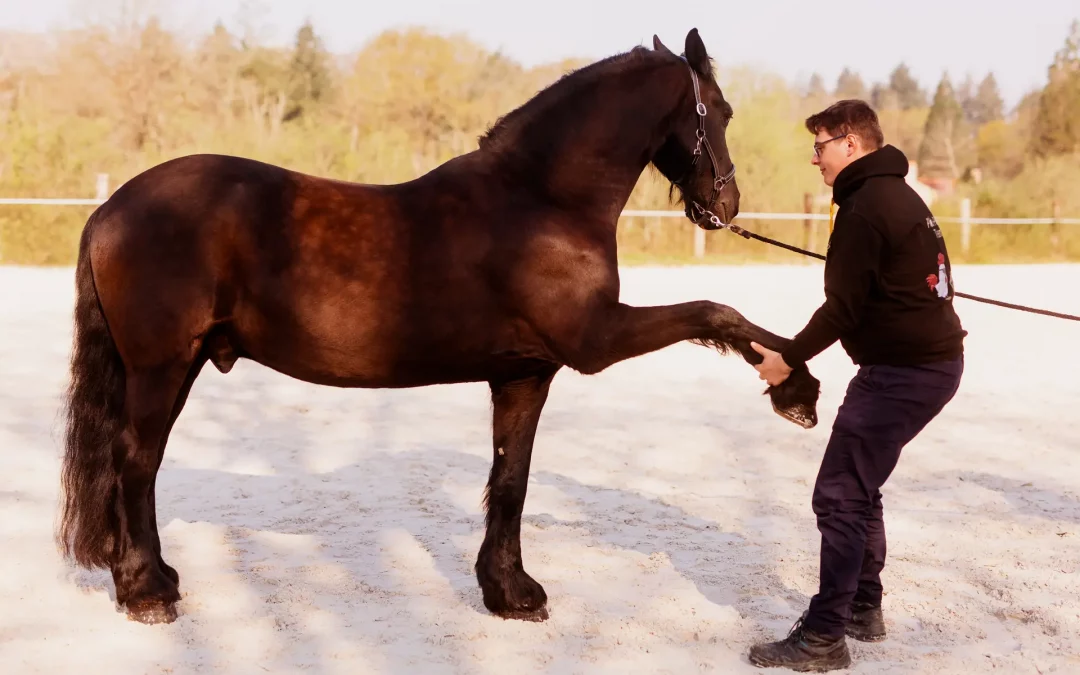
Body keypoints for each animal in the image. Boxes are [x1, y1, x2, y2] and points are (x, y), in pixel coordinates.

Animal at [57, 28, 821, 625]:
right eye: (720, 109)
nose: (727, 203)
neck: (542, 200)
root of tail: (112, 208)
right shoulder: (598, 339)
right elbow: (717, 312)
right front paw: (797, 390)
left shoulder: (524, 373)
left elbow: (510, 479)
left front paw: (510, 592)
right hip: (161, 367)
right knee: (136, 462)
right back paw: (146, 591)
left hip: (178, 365)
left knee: (140, 464)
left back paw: (155, 576)